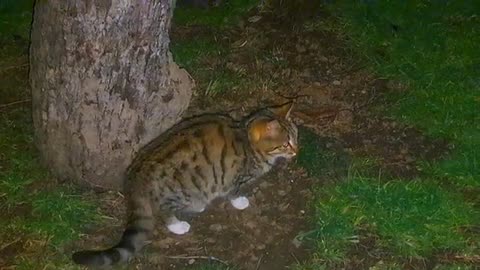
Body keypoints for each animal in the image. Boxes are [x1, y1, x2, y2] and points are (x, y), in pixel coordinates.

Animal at [71, 101, 298, 266]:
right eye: (285, 144)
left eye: (296, 137)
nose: (296, 151)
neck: (247, 140)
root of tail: (136, 176)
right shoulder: (235, 177)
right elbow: (233, 191)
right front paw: (240, 201)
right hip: (181, 191)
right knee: (164, 211)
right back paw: (179, 224)